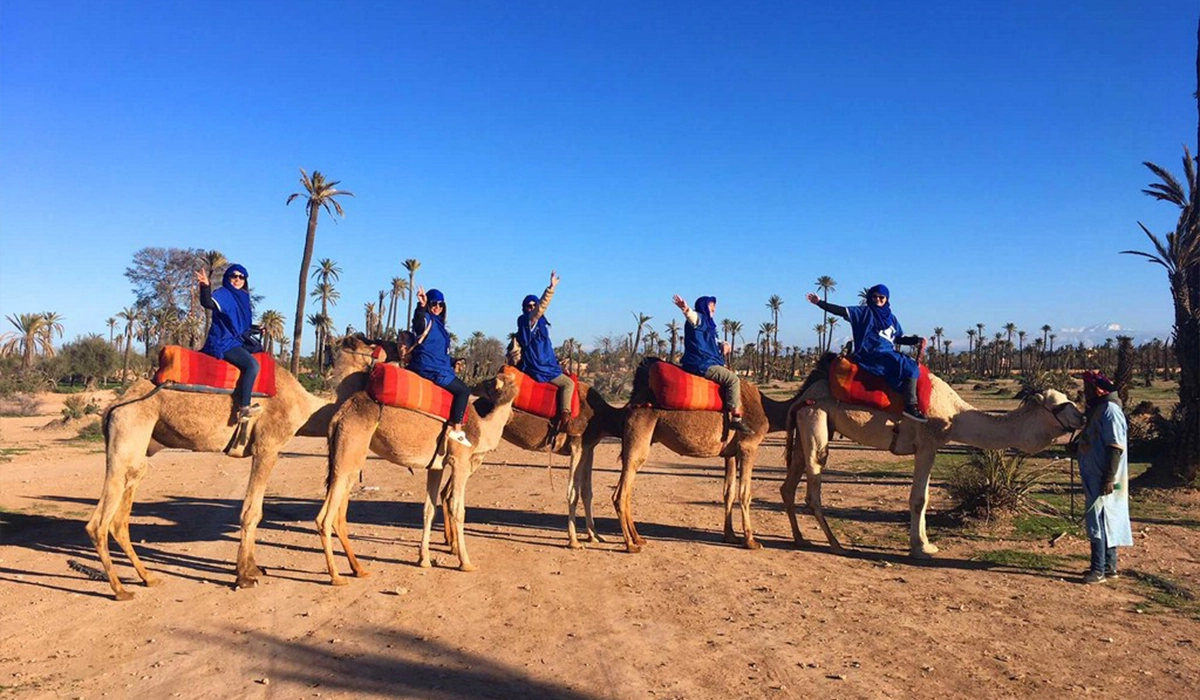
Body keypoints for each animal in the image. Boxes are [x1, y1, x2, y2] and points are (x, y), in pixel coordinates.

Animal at [85, 340, 374, 602]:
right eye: (371, 349)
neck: (304, 406)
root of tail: (113, 406)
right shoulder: (268, 448)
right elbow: (252, 512)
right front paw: (244, 576)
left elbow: (254, 511)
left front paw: (254, 568)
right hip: (127, 434)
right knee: (98, 522)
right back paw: (120, 590)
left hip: (138, 449)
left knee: (121, 516)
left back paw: (148, 577)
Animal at [314, 355, 520, 585]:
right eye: (495, 381)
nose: (478, 385)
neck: (483, 429)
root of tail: (339, 415)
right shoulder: (460, 460)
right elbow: (458, 509)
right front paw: (466, 563)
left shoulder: (436, 466)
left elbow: (429, 509)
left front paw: (424, 559)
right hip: (350, 450)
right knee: (325, 518)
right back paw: (336, 576)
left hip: (348, 457)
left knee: (339, 514)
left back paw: (359, 569)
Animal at [619, 365, 806, 557]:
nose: (801, 539)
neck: (768, 410)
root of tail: (632, 404)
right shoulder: (749, 445)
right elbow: (745, 493)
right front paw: (751, 541)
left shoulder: (731, 453)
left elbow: (729, 492)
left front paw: (730, 536)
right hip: (639, 434)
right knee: (621, 493)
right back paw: (631, 545)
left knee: (626, 489)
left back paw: (638, 538)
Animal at [782, 355, 1084, 559]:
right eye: (1057, 405)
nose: (1081, 417)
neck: (955, 415)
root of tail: (804, 392)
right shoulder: (927, 442)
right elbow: (919, 499)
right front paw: (921, 549)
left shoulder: (932, 446)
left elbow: (923, 497)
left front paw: (926, 543)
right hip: (815, 418)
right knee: (812, 488)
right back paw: (835, 544)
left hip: (806, 425)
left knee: (788, 486)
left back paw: (801, 539)